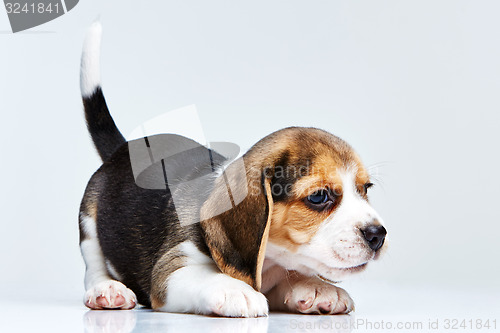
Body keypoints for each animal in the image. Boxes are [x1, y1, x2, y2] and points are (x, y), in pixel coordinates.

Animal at [80, 22, 388, 316]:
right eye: (318, 197)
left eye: (365, 189)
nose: (378, 235)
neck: (269, 263)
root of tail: (123, 149)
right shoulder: (171, 269)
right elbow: (205, 276)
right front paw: (234, 290)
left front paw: (315, 287)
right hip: (89, 222)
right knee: (94, 266)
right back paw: (107, 290)